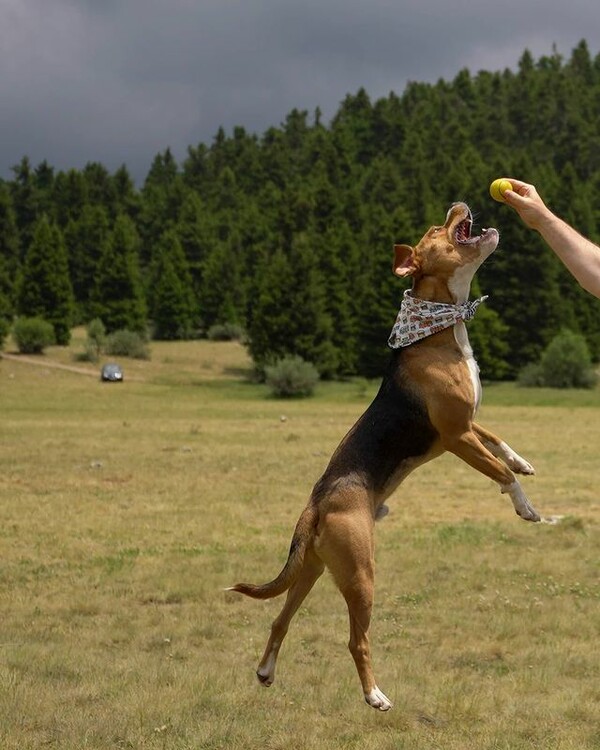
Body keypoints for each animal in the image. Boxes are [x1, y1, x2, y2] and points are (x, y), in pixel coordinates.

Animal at [227, 204, 548, 712]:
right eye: (437, 228)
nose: (458, 205)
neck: (439, 328)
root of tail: (315, 505)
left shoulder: (468, 421)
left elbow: (498, 441)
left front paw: (523, 462)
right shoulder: (456, 436)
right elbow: (497, 471)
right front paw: (526, 506)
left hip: (313, 570)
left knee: (280, 619)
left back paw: (266, 671)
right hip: (362, 574)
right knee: (356, 641)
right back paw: (374, 695)